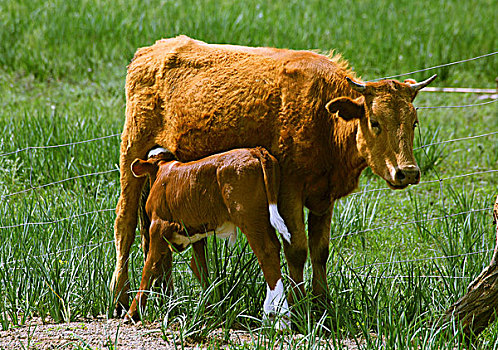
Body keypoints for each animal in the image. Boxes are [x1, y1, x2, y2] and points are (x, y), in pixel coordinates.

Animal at [125, 146, 292, 328]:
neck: (162, 170)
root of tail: (254, 151)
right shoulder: (196, 234)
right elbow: (200, 268)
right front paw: (209, 312)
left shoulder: (158, 227)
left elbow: (149, 267)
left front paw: (132, 313)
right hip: (263, 218)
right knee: (274, 249)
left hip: (250, 218)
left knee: (266, 253)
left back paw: (280, 319)